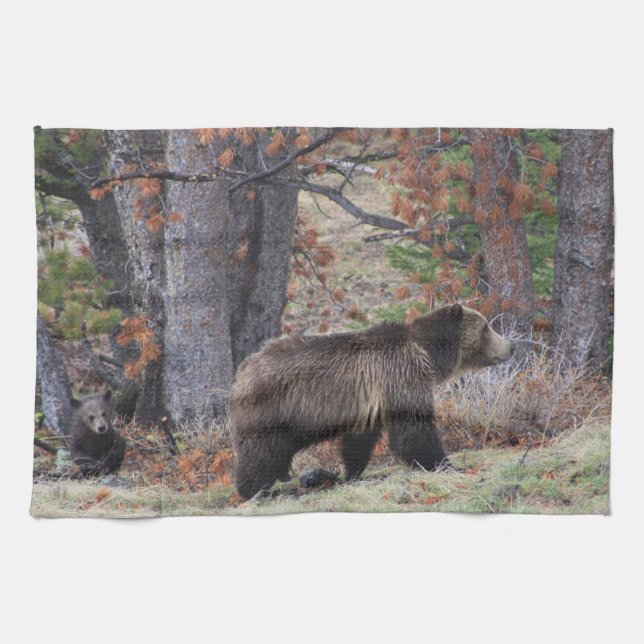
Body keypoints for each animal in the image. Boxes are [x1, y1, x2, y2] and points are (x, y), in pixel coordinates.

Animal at [231, 303, 514, 499]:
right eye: (486, 327)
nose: (510, 346)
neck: (428, 353)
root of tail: (242, 369)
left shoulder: (369, 402)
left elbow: (360, 441)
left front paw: (352, 474)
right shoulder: (401, 375)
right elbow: (414, 430)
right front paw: (445, 465)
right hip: (272, 408)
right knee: (260, 451)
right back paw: (256, 490)